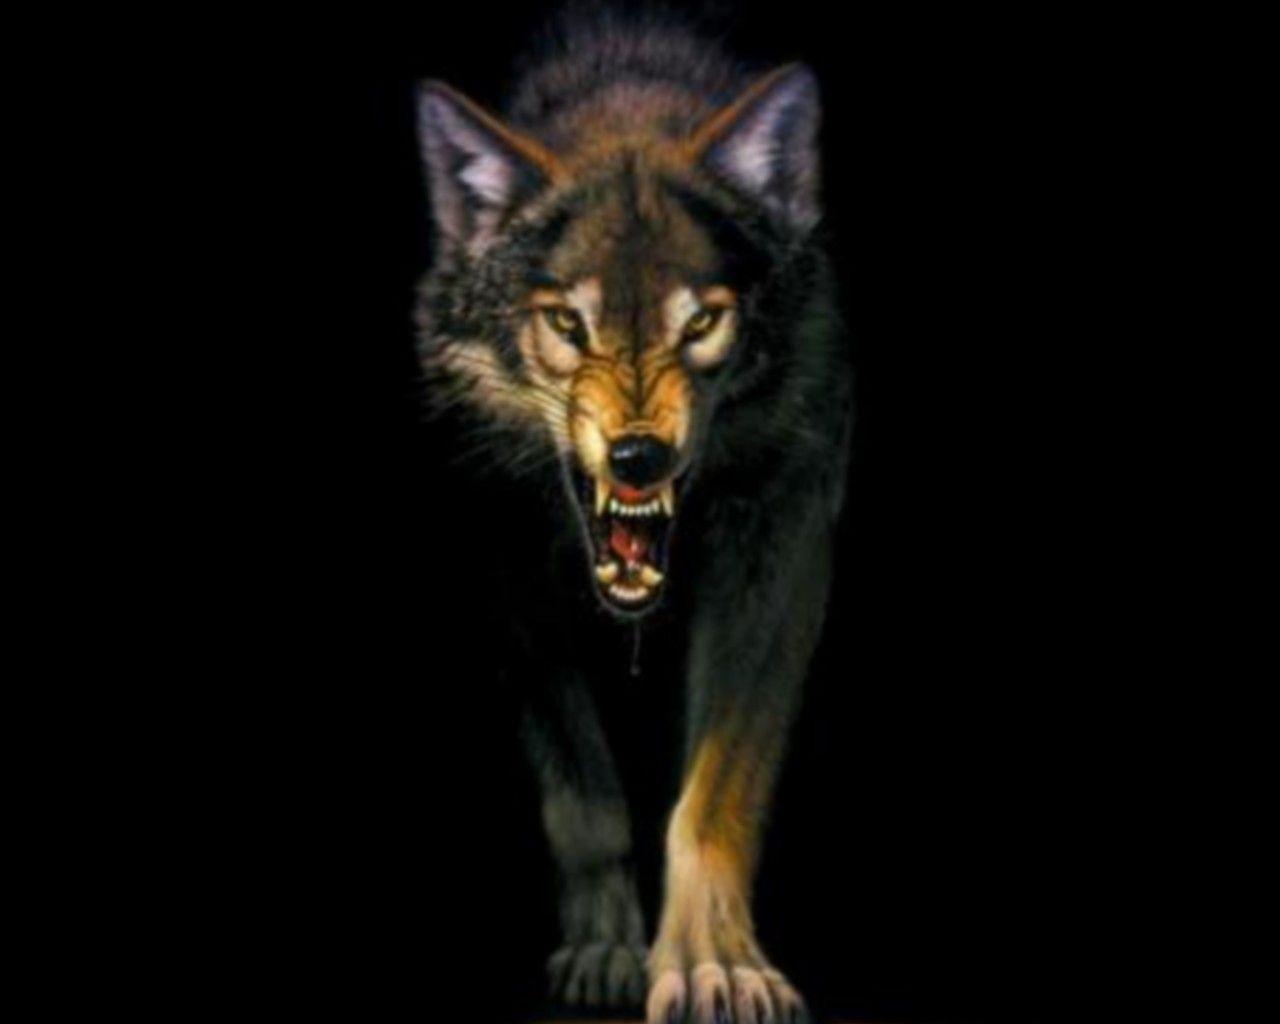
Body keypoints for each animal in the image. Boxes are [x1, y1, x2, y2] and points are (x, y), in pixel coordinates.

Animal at [414, 12, 851, 1023]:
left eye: (701, 324)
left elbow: (714, 795)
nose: (638, 459)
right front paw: (606, 952)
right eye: (568, 326)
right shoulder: (503, 561)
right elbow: (585, 797)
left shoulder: (784, 543)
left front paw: (715, 964)